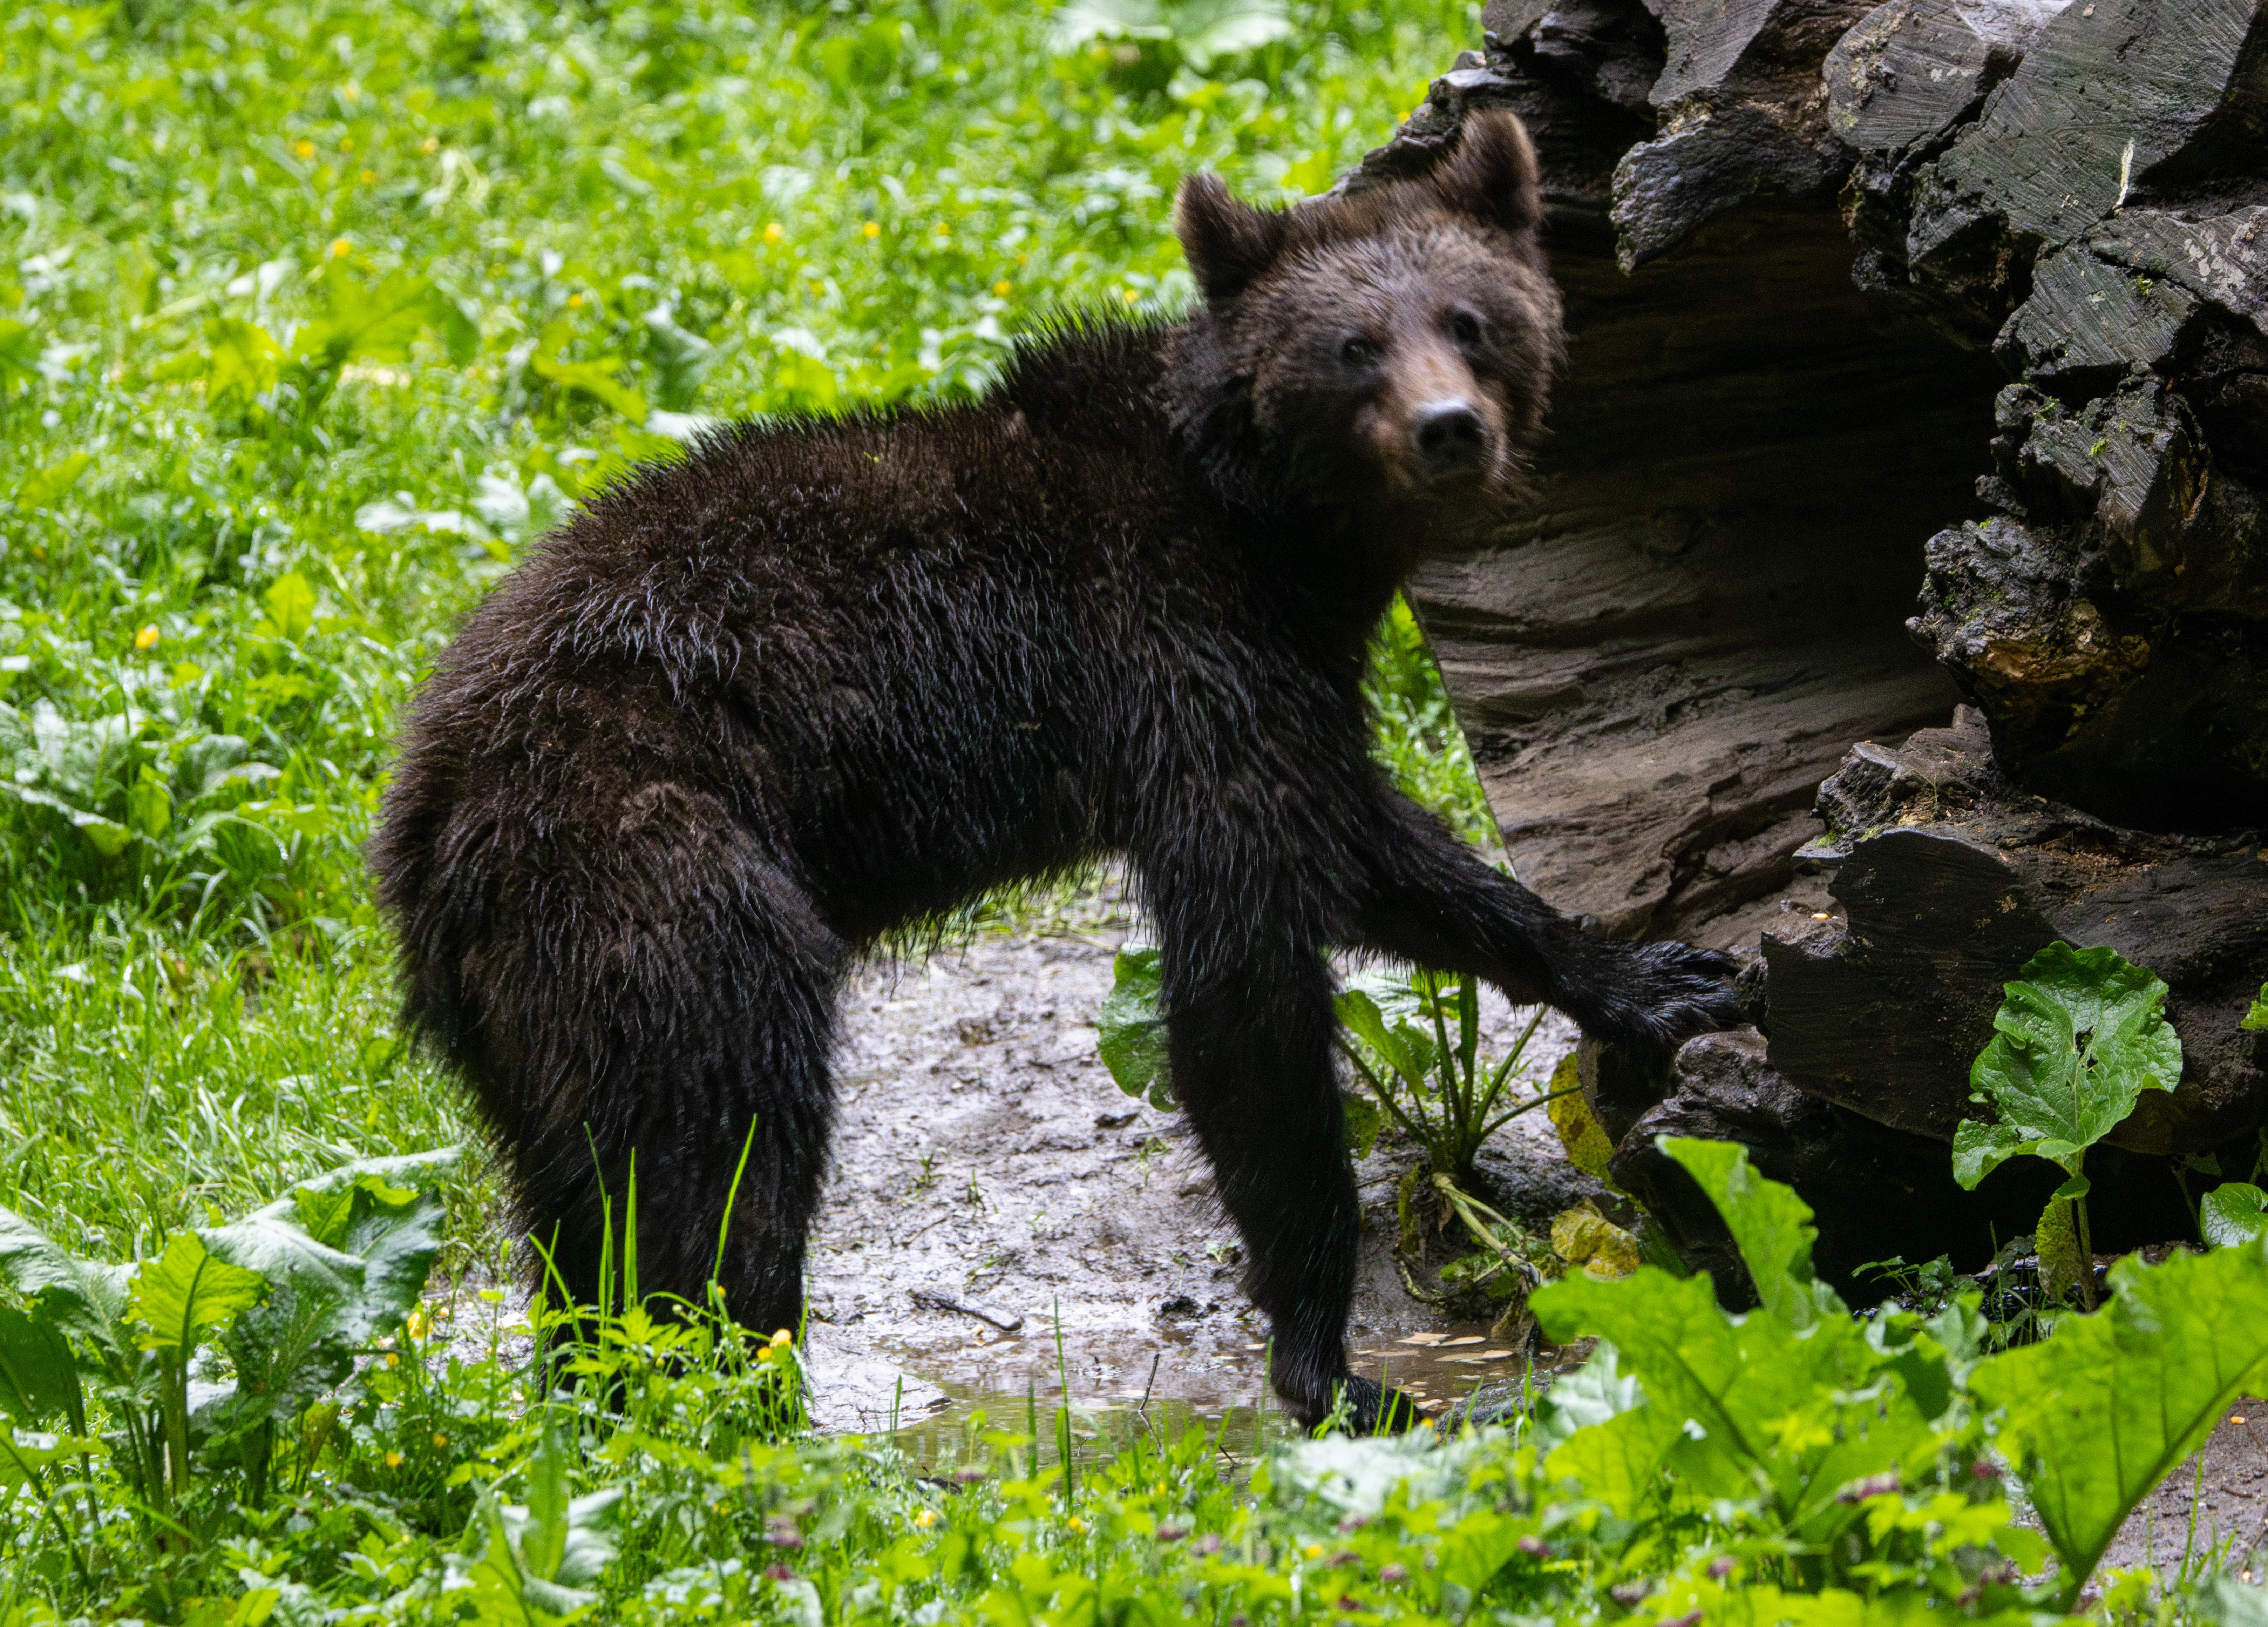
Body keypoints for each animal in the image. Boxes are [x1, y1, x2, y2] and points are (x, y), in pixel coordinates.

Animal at [371, 109, 1739, 1432]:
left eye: (1471, 317)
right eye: (1353, 345)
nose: (1448, 429)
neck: (1275, 532)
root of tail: (423, 815)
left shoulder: (1277, 683)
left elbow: (1382, 857)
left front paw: (1658, 976)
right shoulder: (1176, 652)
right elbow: (1244, 990)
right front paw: (1333, 1365)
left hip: (533, 1014)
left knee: (579, 1203)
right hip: (657, 863)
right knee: (725, 1141)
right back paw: (738, 1399)